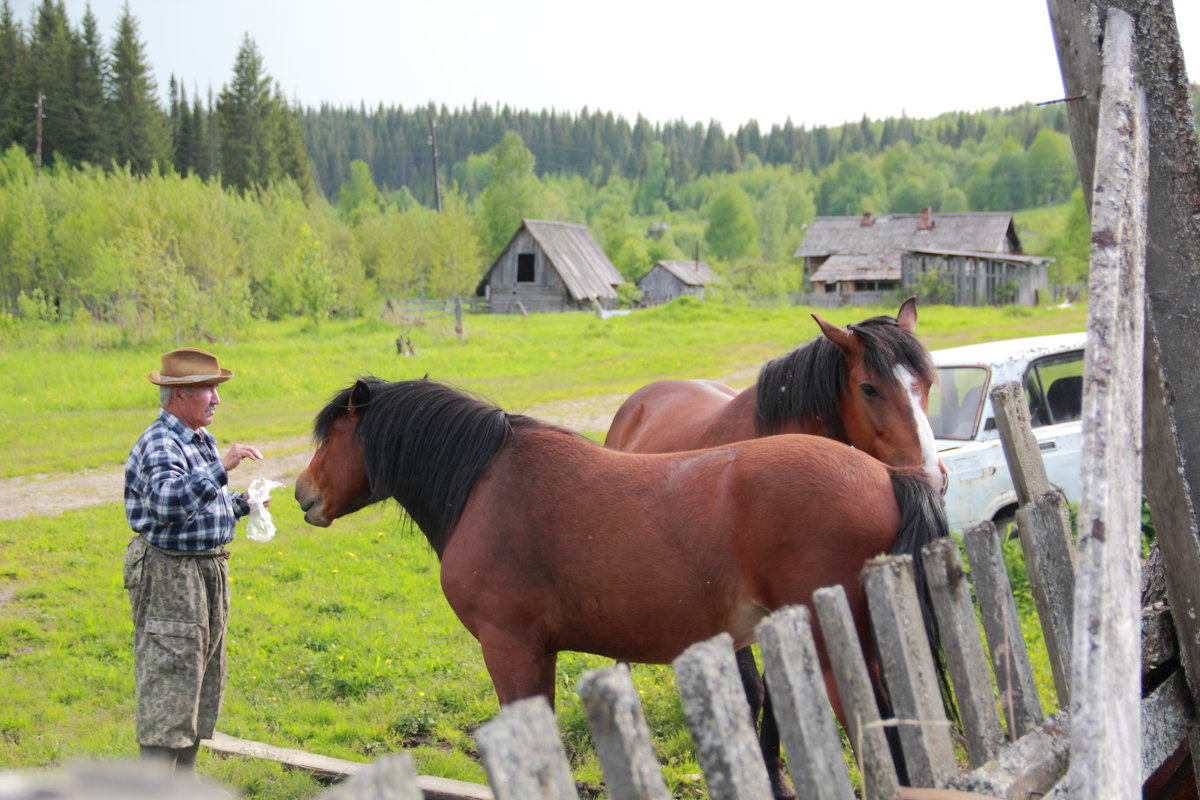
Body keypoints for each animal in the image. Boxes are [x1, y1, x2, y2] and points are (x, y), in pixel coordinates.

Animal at [292, 381, 945, 767]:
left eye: (336, 434)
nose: (303, 493)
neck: (485, 482)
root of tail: (889, 476)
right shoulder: (541, 652)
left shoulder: (509, 649)